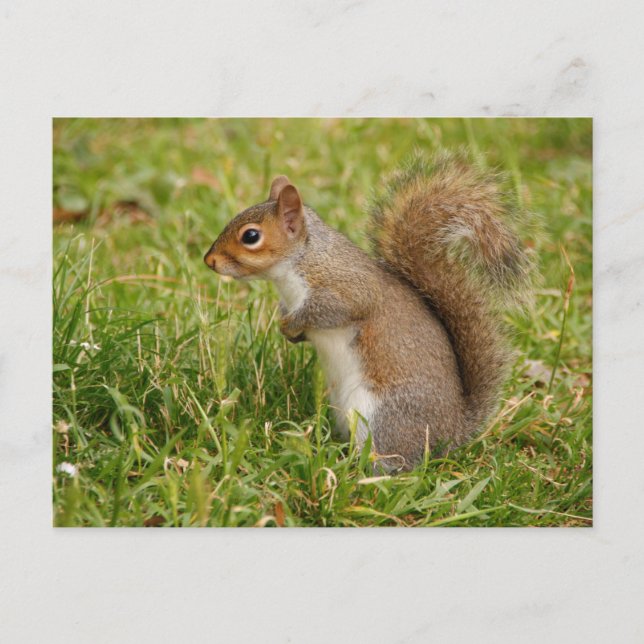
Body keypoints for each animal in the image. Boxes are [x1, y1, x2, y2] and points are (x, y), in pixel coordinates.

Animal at [204, 151, 533, 471]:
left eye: (250, 236)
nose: (210, 261)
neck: (302, 262)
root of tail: (449, 435)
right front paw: (290, 331)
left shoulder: (347, 288)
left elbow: (332, 310)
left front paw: (292, 325)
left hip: (380, 415)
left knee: (394, 462)